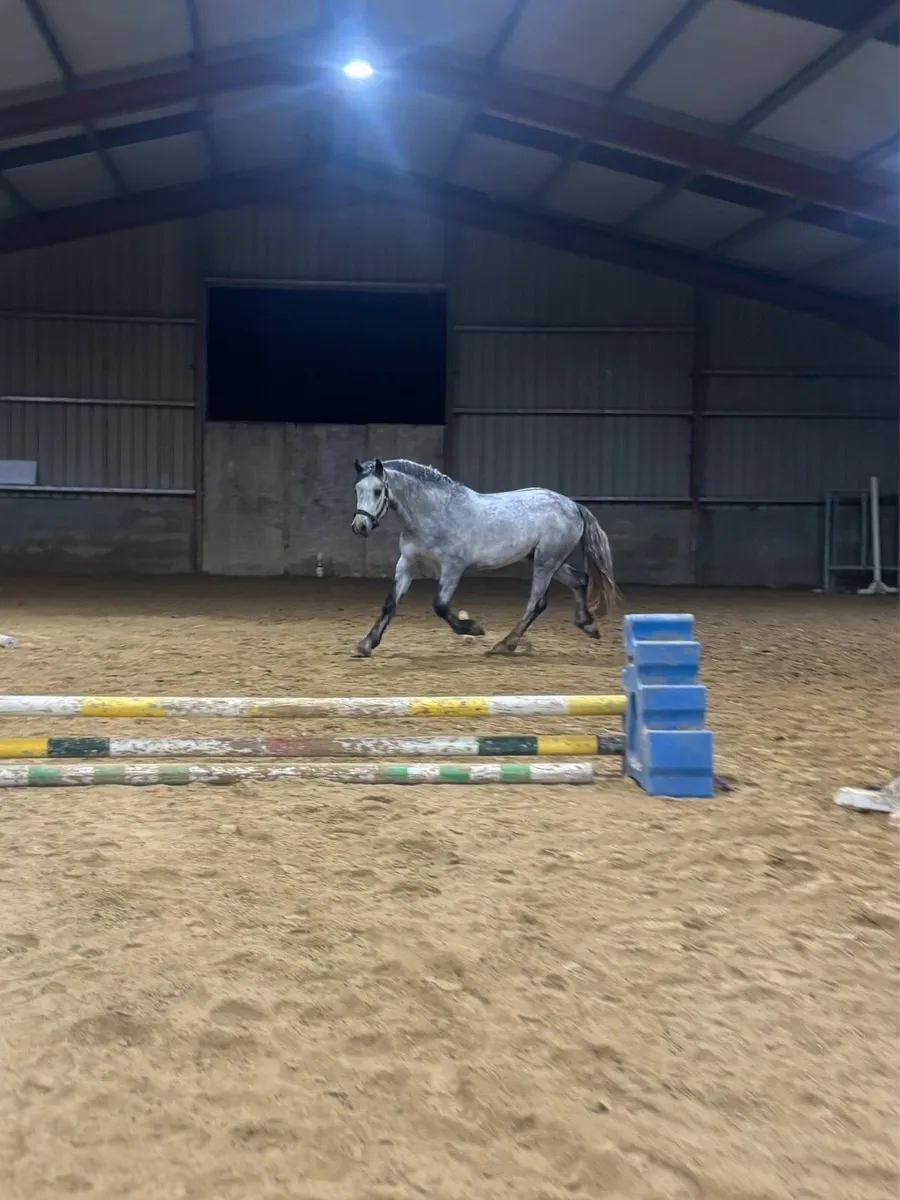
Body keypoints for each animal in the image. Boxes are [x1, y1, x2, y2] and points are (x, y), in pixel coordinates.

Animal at [350, 458, 617, 658]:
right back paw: (587, 625)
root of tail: (573, 505)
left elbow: (440, 605)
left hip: (546, 561)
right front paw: (366, 644)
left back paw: (504, 645)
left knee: (536, 602)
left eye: (377, 491)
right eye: (357, 490)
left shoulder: (453, 567)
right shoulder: (406, 564)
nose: (360, 526)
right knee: (579, 581)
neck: (435, 512)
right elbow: (390, 604)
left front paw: (473, 628)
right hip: (548, 560)